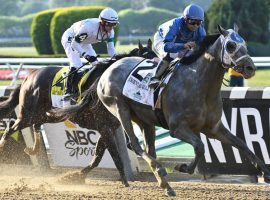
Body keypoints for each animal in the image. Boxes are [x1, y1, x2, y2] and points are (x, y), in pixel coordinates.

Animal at [0, 39, 155, 187]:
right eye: (146, 64)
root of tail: (29, 77)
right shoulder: (105, 127)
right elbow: (115, 156)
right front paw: (125, 182)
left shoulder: (108, 127)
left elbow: (97, 157)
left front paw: (75, 176)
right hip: (28, 114)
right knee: (10, 128)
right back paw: (4, 147)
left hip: (49, 115)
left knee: (35, 125)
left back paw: (33, 149)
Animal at [96, 24, 268, 195]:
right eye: (231, 45)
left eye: (244, 43)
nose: (250, 67)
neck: (200, 86)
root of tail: (110, 67)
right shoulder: (177, 128)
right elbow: (200, 147)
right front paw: (183, 167)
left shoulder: (213, 128)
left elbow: (241, 144)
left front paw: (265, 172)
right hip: (120, 109)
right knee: (135, 144)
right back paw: (161, 171)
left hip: (144, 120)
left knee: (148, 148)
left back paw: (166, 185)